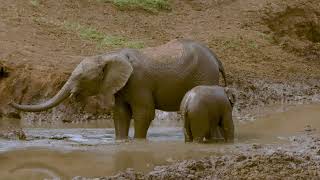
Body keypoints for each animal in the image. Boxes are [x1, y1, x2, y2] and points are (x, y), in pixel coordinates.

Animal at [9, 39, 225, 139]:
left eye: (81, 77)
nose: (10, 103)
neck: (109, 55)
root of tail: (216, 57)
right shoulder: (121, 86)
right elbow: (120, 114)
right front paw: (121, 142)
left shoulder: (139, 82)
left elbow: (144, 113)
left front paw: (137, 143)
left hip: (205, 76)